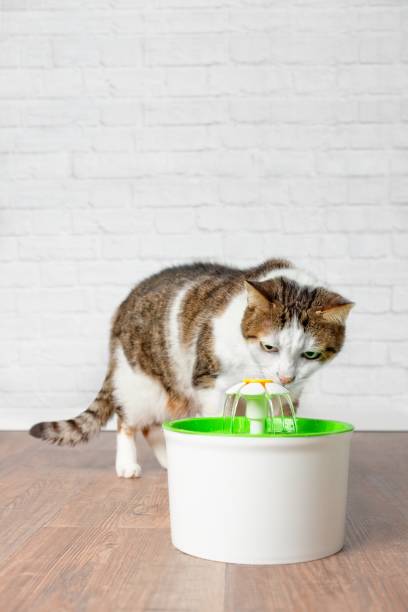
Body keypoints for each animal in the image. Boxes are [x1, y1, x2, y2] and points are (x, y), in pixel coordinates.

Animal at [29, 258, 354, 478]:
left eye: (309, 354)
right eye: (269, 347)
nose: (285, 376)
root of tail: (124, 304)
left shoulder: (292, 392)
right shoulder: (210, 382)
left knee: (153, 426)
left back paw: (169, 461)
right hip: (139, 382)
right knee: (128, 422)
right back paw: (128, 464)